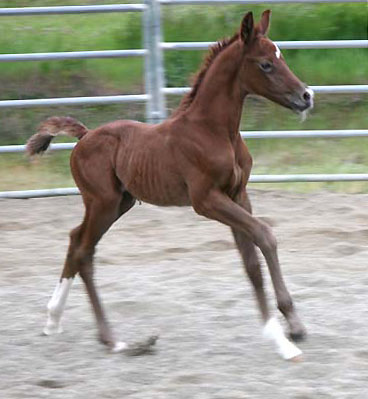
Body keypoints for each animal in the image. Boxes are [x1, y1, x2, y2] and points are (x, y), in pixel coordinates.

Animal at [26, 10, 314, 360]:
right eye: (266, 64)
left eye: (280, 57)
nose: (306, 97)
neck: (215, 131)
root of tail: (85, 135)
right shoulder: (206, 200)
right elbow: (265, 235)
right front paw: (284, 338)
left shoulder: (237, 195)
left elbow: (251, 260)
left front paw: (289, 328)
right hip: (103, 202)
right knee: (83, 251)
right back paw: (114, 340)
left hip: (118, 203)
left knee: (76, 240)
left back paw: (53, 320)